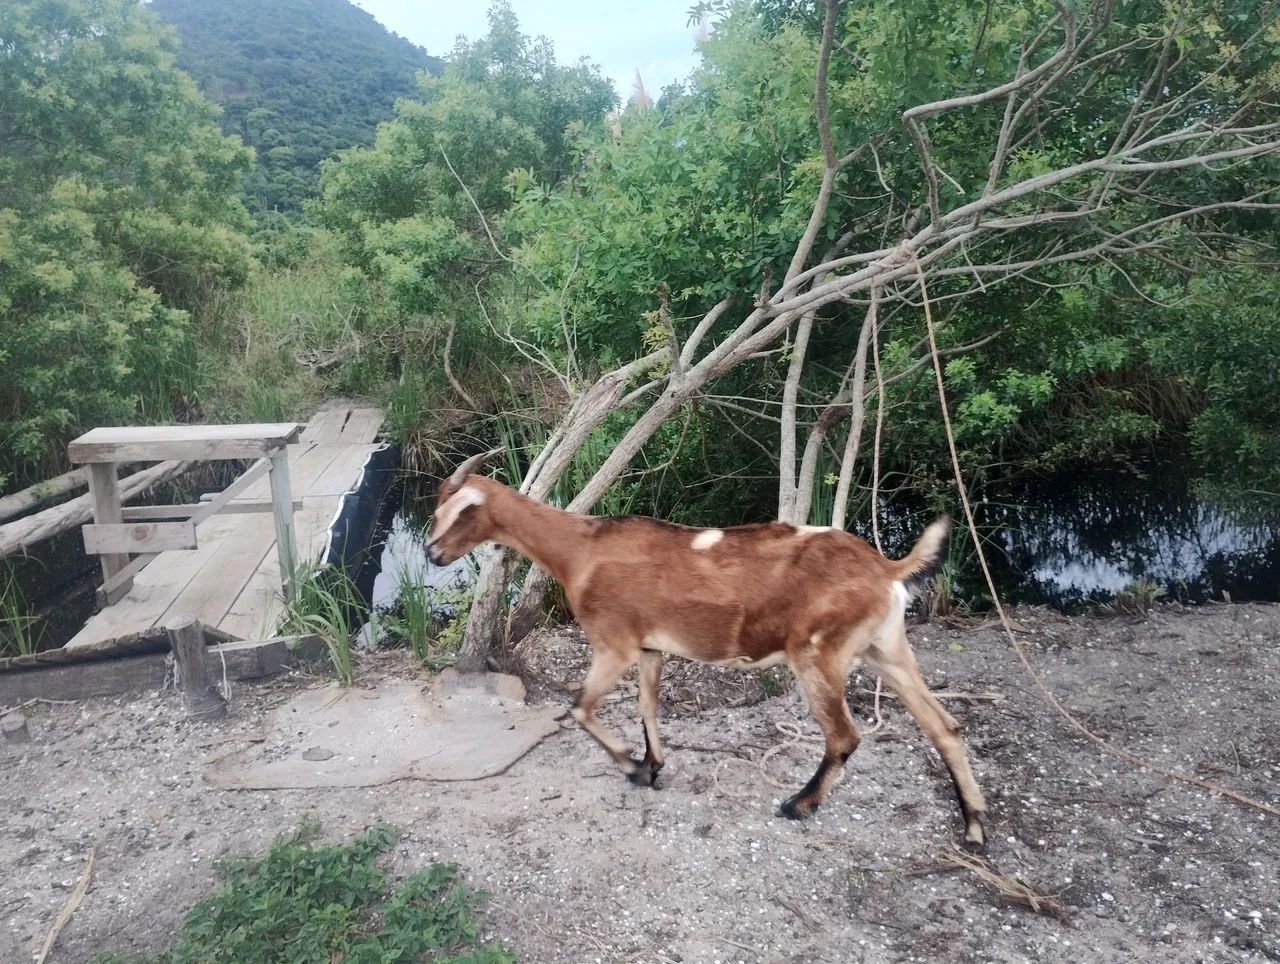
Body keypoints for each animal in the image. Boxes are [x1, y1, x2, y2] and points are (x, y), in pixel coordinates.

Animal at [427, 451, 988, 848]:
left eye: (451, 513)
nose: (431, 553)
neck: (580, 551)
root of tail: (888, 570)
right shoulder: (650, 646)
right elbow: (648, 706)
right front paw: (653, 765)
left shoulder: (614, 641)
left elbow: (580, 708)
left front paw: (632, 766)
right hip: (884, 645)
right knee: (944, 725)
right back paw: (975, 828)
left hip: (819, 652)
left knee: (845, 736)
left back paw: (798, 805)